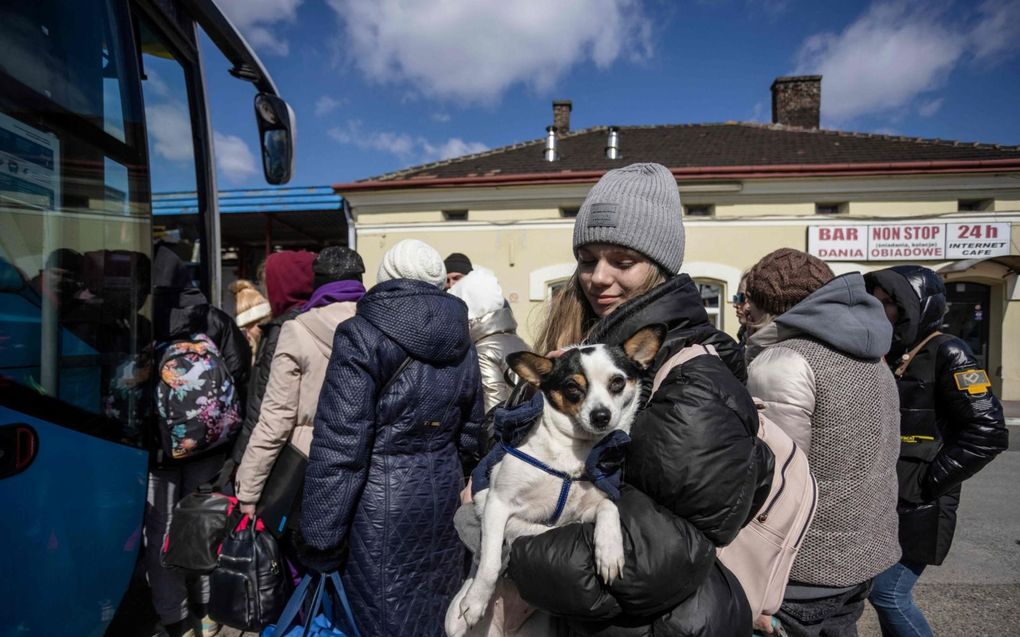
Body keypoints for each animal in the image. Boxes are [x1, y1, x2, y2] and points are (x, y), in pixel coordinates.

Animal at [446, 326, 660, 631]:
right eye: (572, 387)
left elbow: (609, 507)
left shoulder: (580, 513)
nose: (601, 415)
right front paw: (476, 601)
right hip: (452, 623)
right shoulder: (495, 504)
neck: (573, 456)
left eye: (617, 382)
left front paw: (609, 551)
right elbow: (489, 561)